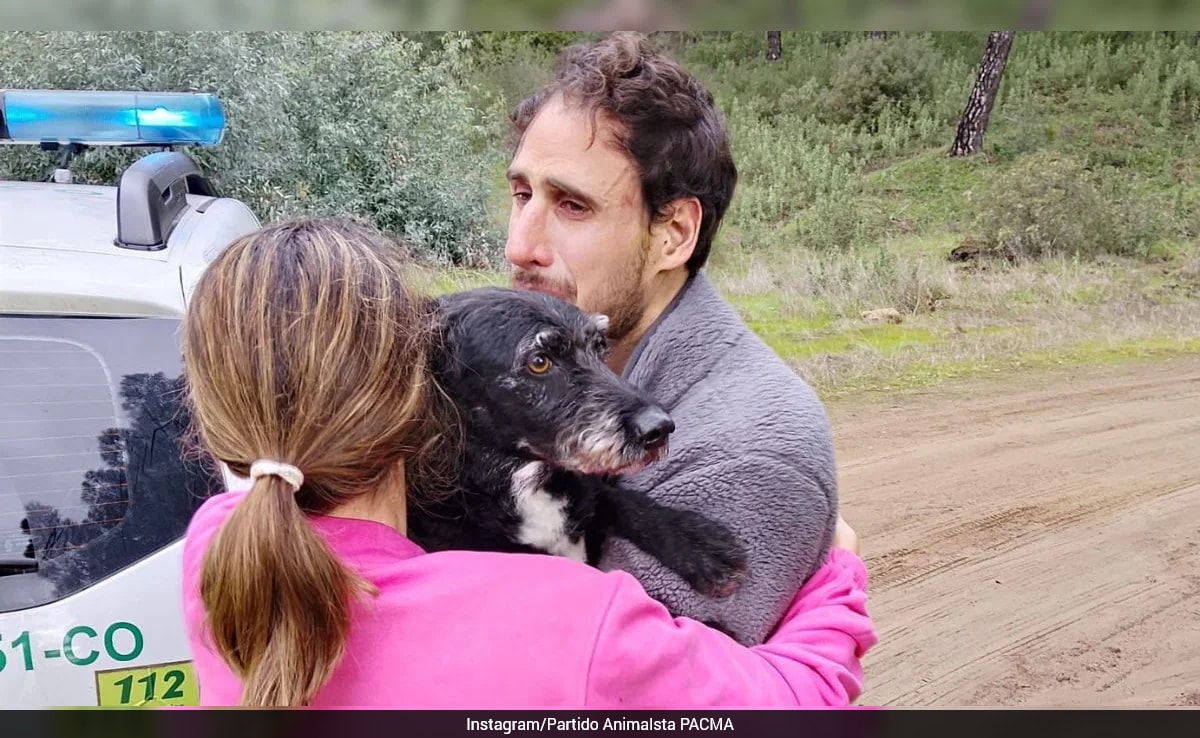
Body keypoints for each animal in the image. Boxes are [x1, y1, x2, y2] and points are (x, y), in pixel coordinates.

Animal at [406, 287, 749, 601]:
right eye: (539, 361)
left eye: (600, 347)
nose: (659, 428)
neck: (526, 481)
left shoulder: (587, 489)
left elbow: (618, 500)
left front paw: (694, 541)